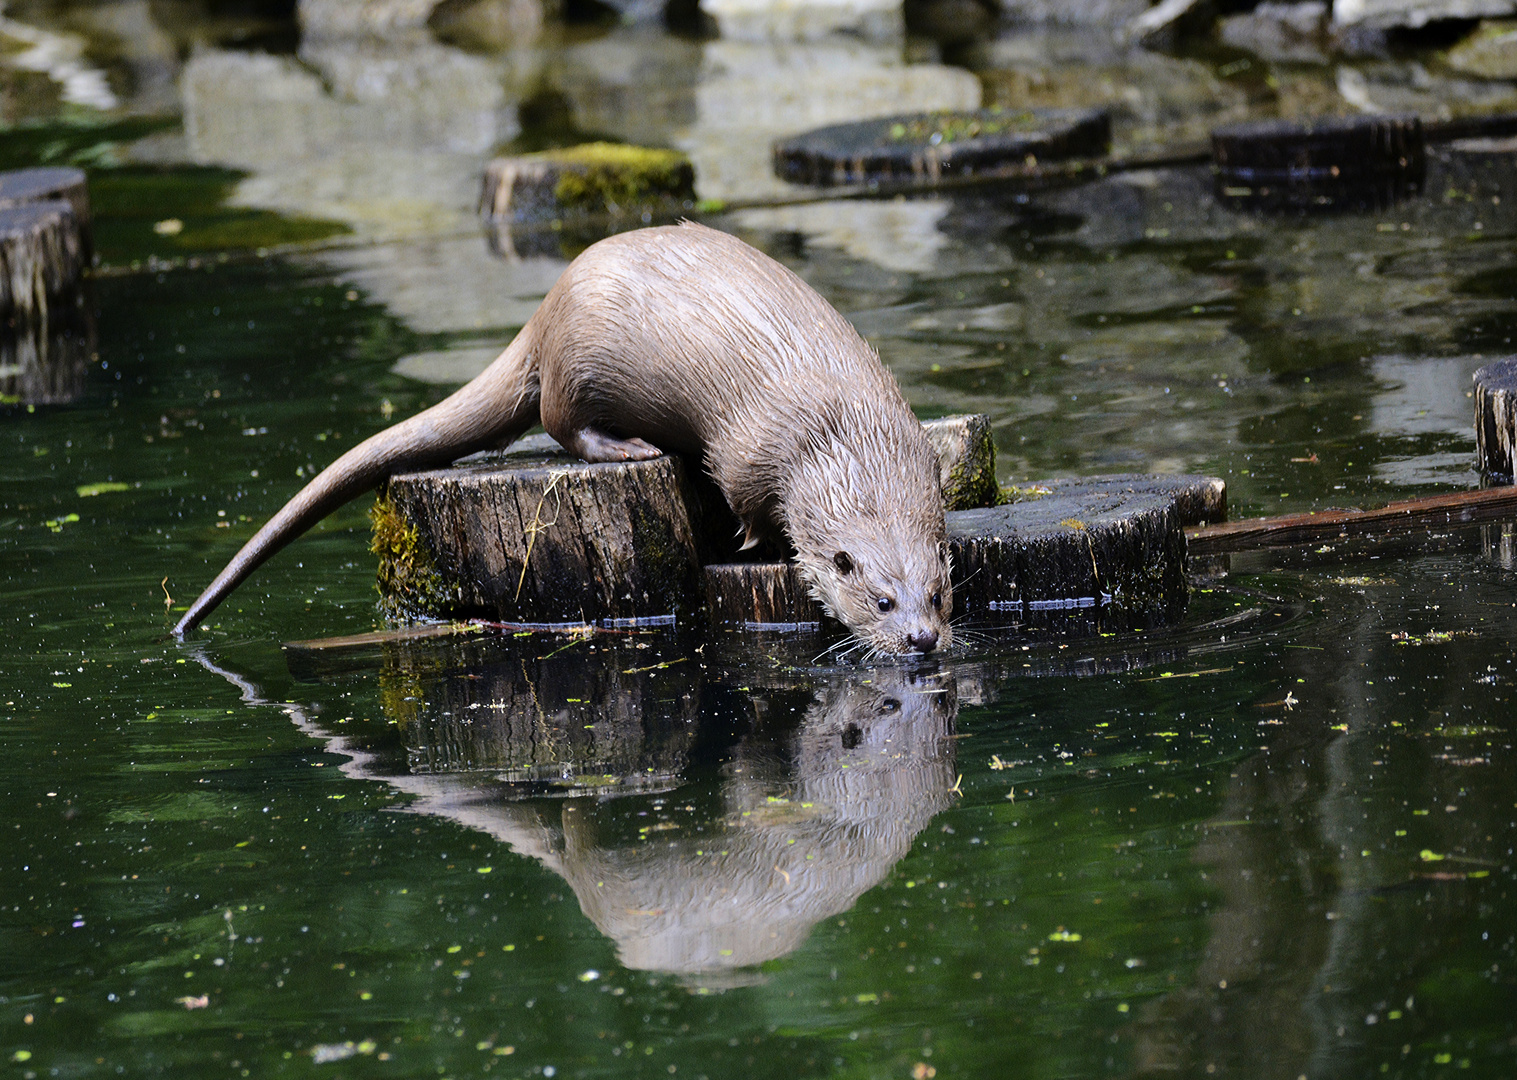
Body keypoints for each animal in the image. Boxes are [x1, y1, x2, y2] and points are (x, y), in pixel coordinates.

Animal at [172, 222, 952, 655]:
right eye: (882, 601)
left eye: (939, 594)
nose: (921, 639)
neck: (838, 430)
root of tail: (547, 306)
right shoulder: (746, 455)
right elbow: (748, 508)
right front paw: (756, 546)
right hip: (580, 363)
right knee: (556, 419)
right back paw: (627, 448)